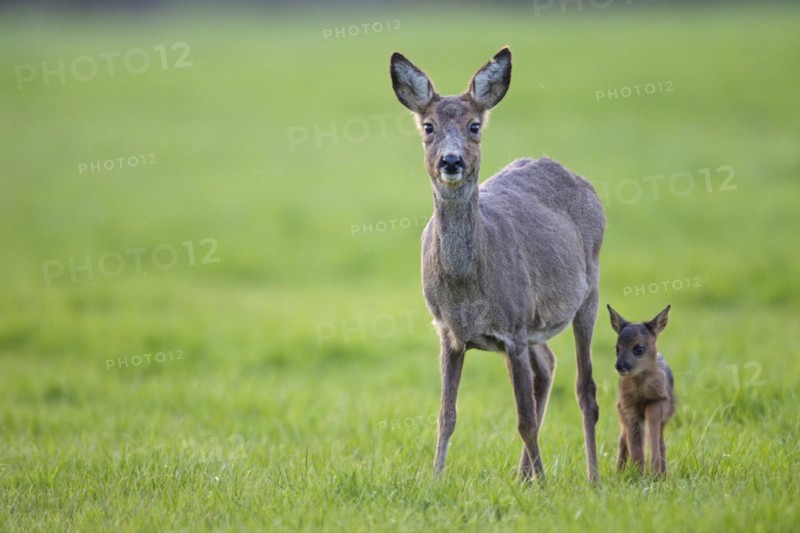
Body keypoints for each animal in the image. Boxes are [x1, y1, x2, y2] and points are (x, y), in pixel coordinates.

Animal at [389, 47, 606, 484]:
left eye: (475, 126)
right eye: (428, 126)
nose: (451, 161)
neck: (467, 289)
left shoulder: (512, 330)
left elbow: (523, 420)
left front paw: (544, 485)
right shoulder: (448, 332)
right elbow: (446, 415)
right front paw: (436, 479)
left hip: (587, 291)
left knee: (585, 388)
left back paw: (591, 478)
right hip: (535, 324)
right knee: (548, 367)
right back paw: (523, 477)